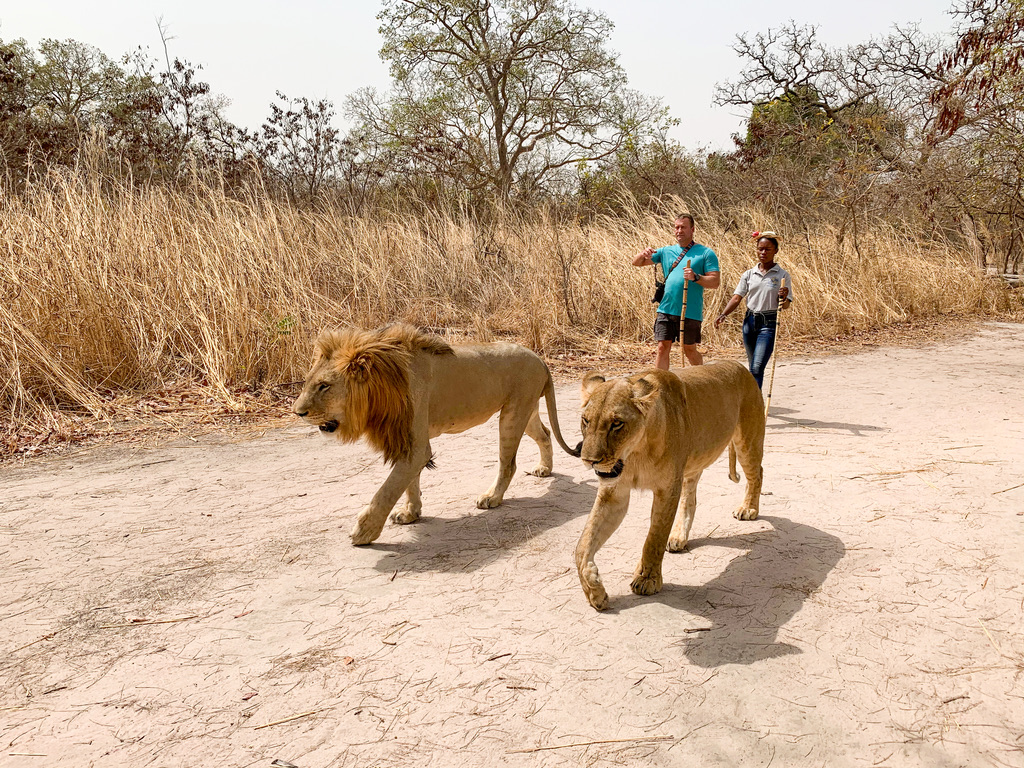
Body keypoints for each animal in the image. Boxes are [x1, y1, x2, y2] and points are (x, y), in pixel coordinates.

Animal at [292, 323, 579, 546]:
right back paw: (544, 468)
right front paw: (410, 514)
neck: (381, 387)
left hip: (513, 415)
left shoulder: (416, 446)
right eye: (308, 383)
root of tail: (539, 358)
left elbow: (387, 489)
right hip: (524, 411)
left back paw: (492, 498)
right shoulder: (407, 440)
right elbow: (409, 484)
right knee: (545, 433)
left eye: (324, 386)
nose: (297, 412)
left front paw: (364, 531)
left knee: (508, 463)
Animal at [573, 360, 765, 610]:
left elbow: (654, 537)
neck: (636, 453)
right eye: (586, 421)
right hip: (692, 464)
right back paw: (678, 537)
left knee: (757, 473)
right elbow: (583, 544)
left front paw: (647, 579)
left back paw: (748, 508)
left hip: (747, 443)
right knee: (690, 499)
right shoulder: (614, 492)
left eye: (617, 424)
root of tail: (739, 365)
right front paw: (594, 591)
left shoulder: (666, 489)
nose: (589, 460)